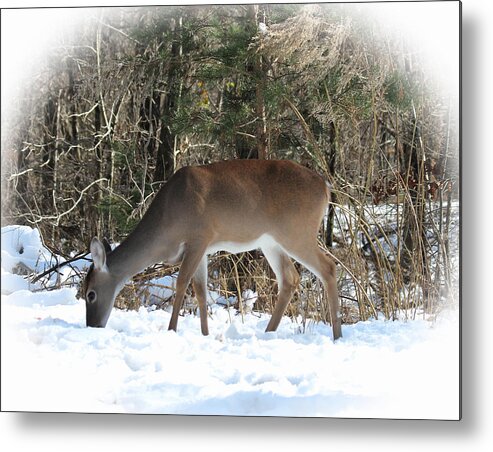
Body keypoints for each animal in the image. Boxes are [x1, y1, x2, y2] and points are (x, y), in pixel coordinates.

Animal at [81, 159, 342, 340]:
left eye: (90, 294)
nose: (92, 326)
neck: (166, 223)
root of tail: (326, 187)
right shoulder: (204, 248)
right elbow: (200, 290)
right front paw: (205, 334)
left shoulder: (199, 236)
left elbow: (182, 283)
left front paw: (172, 330)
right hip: (271, 241)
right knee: (290, 277)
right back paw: (269, 332)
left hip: (297, 233)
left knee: (329, 267)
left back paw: (337, 335)